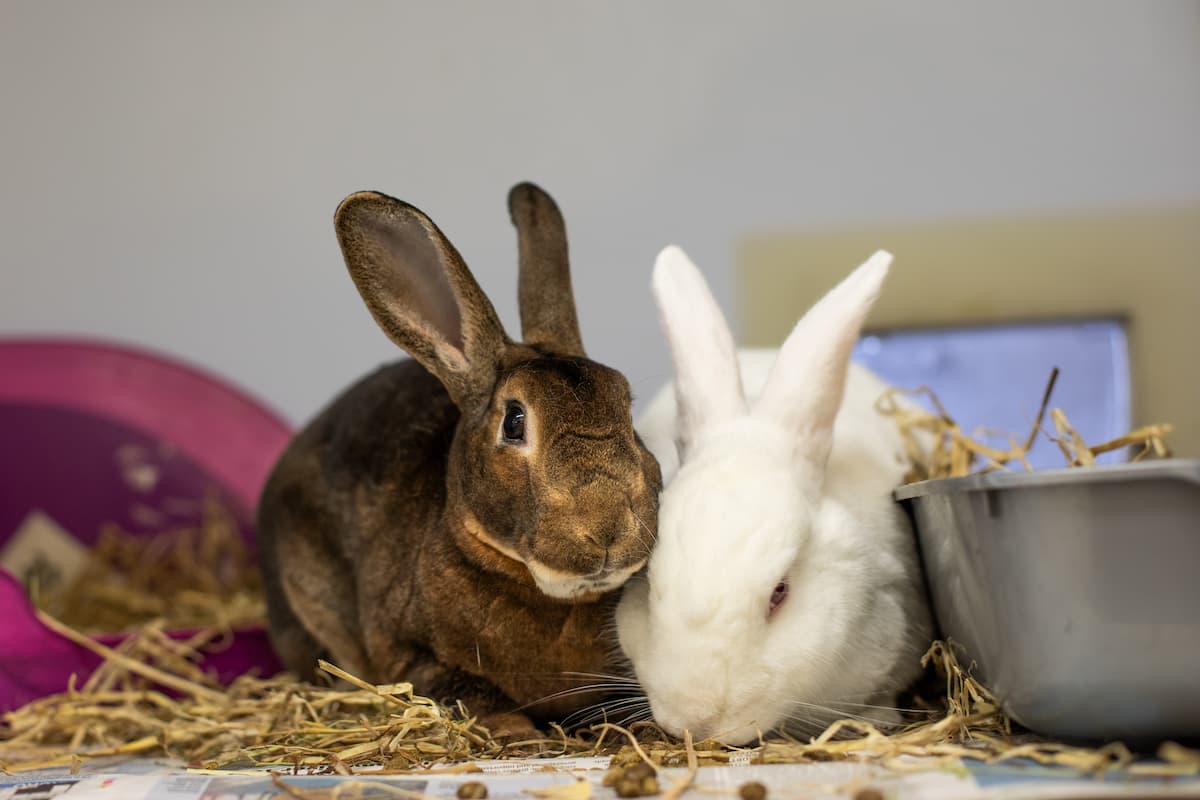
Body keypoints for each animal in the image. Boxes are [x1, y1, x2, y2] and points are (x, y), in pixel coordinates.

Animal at [257, 183, 662, 732]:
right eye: (514, 421)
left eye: (625, 403)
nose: (608, 531)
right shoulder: (412, 657)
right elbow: (474, 696)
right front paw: (523, 737)